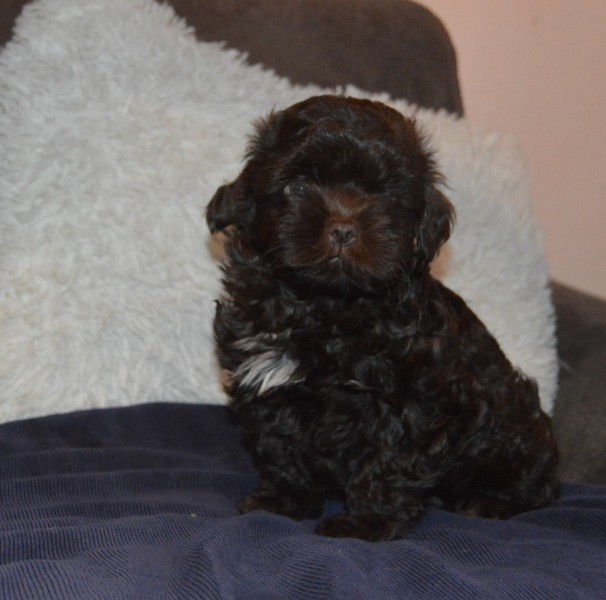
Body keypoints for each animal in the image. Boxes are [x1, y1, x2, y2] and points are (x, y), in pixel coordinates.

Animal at [206, 95, 559, 542]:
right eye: (298, 186)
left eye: (386, 195)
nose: (343, 228)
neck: (325, 307)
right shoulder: (265, 383)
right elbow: (278, 445)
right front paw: (283, 500)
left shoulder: (411, 400)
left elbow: (388, 459)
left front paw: (366, 522)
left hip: (515, 427)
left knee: (536, 482)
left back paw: (489, 501)